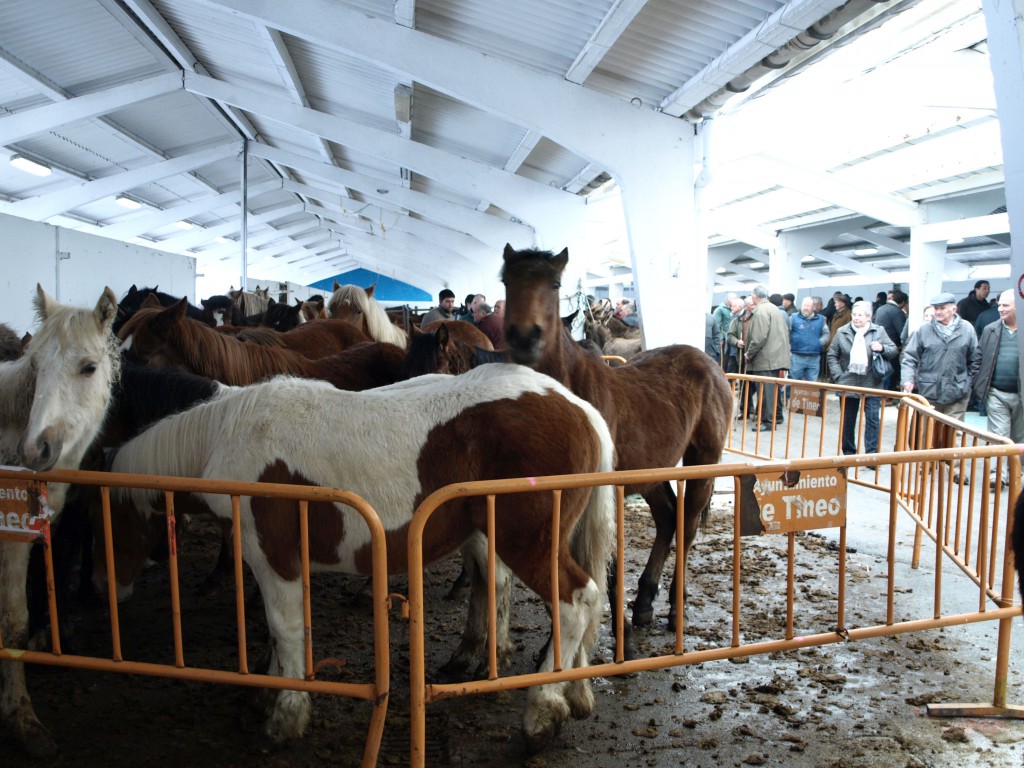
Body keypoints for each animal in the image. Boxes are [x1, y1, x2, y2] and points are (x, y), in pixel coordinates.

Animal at [107, 364, 610, 753]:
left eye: (104, 524)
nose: (106, 588)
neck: (230, 434)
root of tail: (581, 408)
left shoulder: (273, 557)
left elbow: (284, 629)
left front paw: (286, 716)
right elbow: (283, 632)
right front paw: (271, 693)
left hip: (528, 544)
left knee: (575, 602)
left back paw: (542, 713)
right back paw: (574, 692)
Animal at [499, 244, 733, 630]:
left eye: (555, 283)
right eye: (506, 281)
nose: (523, 336)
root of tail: (711, 365)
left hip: (703, 460)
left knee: (686, 522)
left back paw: (674, 607)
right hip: (652, 470)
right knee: (668, 517)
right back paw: (644, 601)